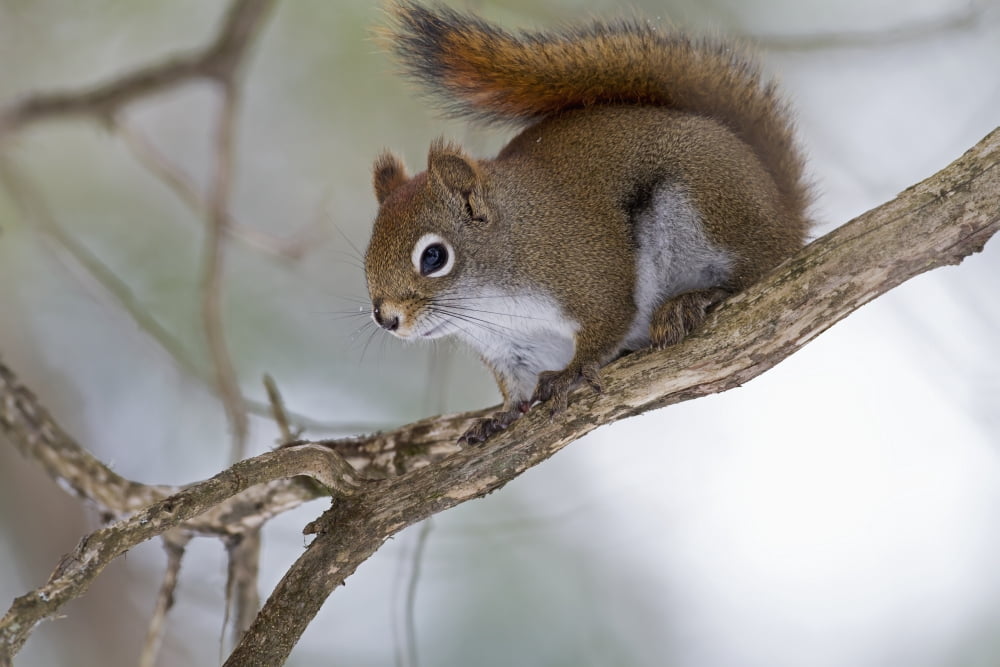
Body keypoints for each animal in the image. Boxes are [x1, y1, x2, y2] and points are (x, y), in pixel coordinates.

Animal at [363, 1, 811, 444]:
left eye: (434, 257)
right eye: (366, 259)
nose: (386, 319)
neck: (493, 300)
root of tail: (785, 218)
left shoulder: (589, 274)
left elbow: (606, 323)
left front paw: (572, 373)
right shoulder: (511, 347)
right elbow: (516, 390)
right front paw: (500, 417)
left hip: (706, 207)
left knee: (751, 274)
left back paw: (694, 300)